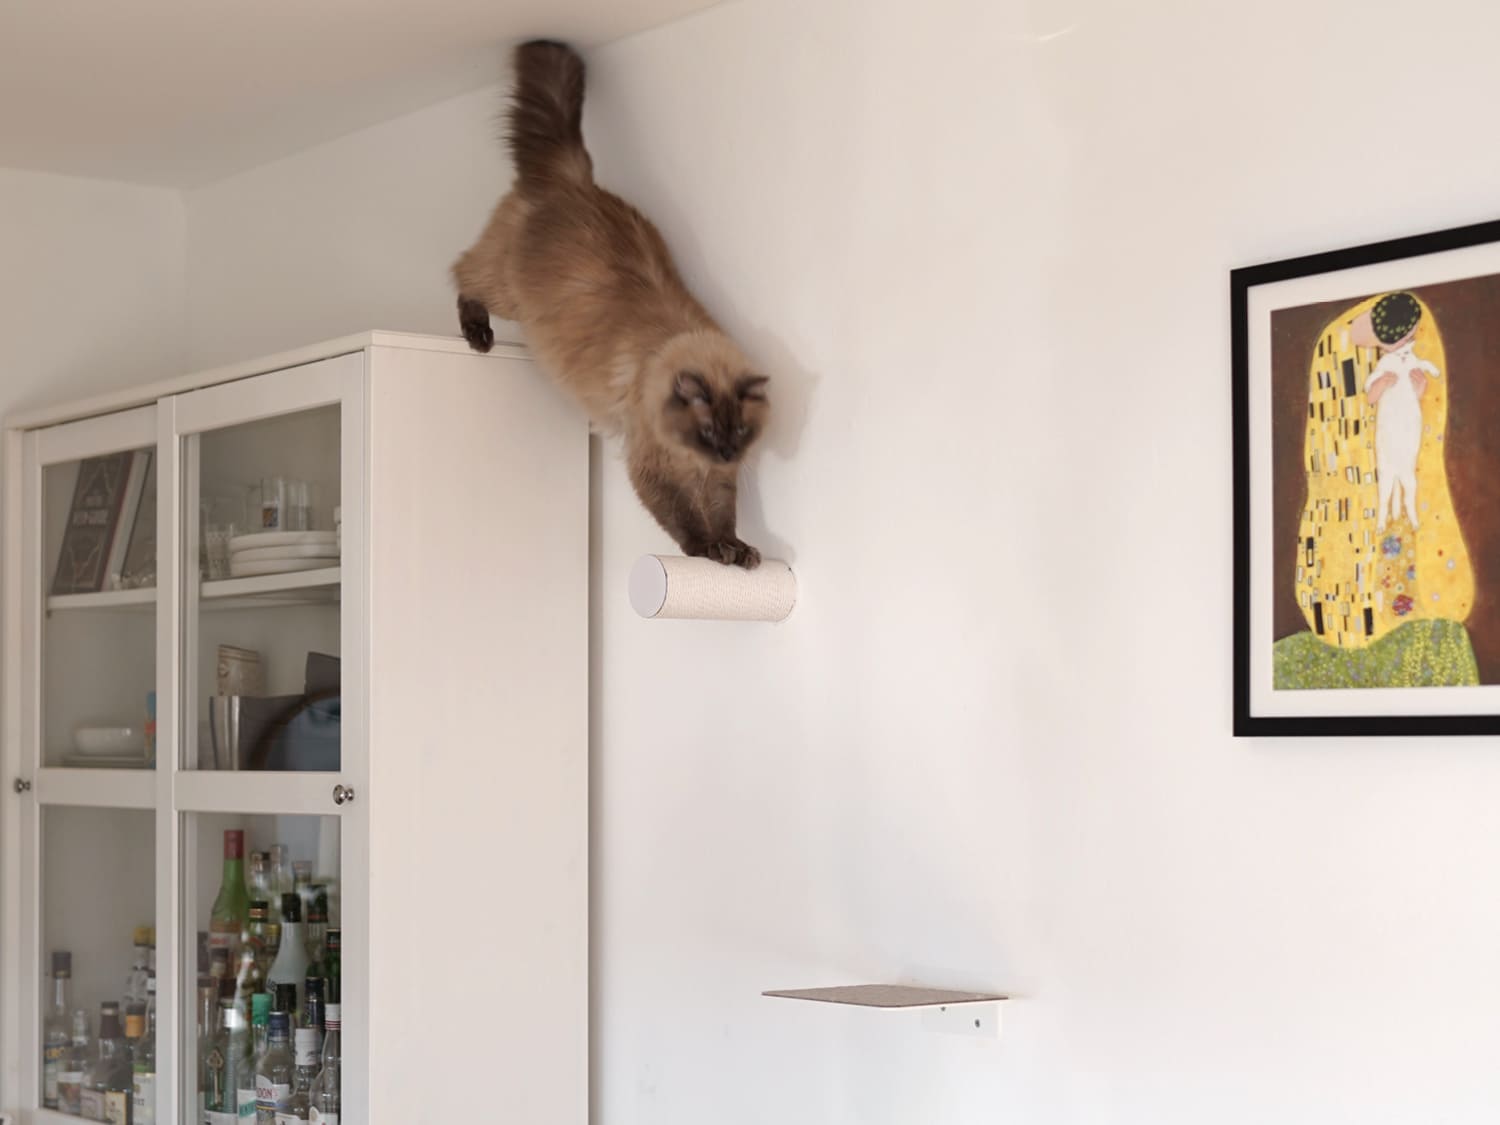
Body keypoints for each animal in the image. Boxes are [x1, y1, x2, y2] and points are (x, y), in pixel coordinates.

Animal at [451, 40, 769, 568]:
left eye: (740, 432)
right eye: (708, 432)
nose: (727, 453)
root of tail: (575, 179)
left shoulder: (717, 478)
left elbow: (723, 513)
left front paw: (735, 549)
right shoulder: (651, 464)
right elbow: (685, 518)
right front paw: (706, 551)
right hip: (509, 292)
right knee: (462, 272)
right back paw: (478, 335)